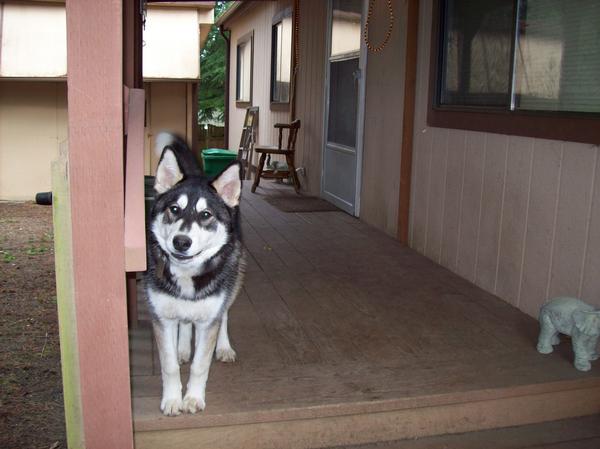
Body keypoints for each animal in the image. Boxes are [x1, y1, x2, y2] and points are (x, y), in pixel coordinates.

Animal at [146, 133, 244, 416]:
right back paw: (182, 348)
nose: (181, 242)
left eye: (205, 214)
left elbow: (201, 365)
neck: (186, 274)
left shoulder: (208, 317)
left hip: (233, 281)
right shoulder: (162, 317)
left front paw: (192, 398)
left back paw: (223, 346)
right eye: (174, 209)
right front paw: (172, 399)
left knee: (224, 314)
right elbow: (168, 365)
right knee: (185, 321)